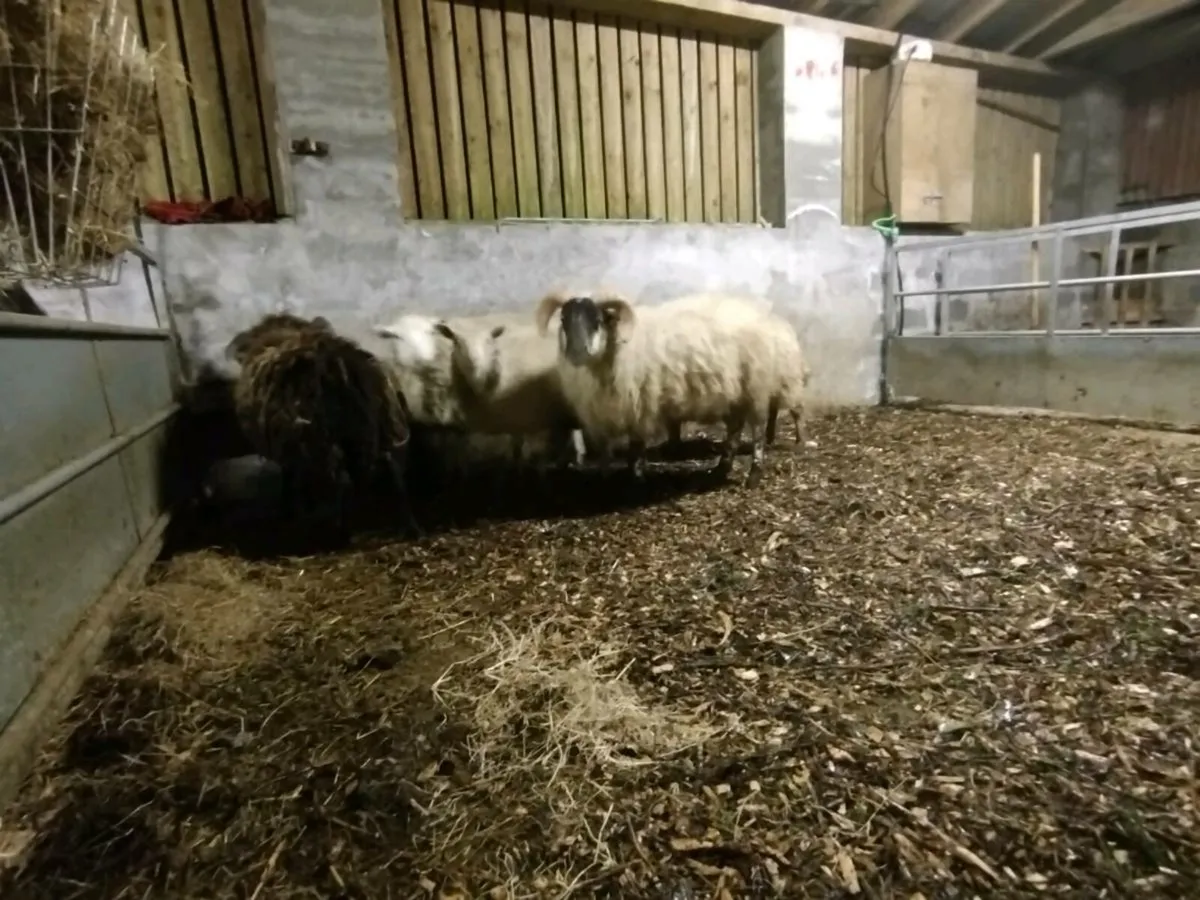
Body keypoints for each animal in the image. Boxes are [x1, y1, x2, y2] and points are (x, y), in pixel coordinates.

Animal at [225, 313, 420, 537]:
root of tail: (341, 365)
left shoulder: (291, 445)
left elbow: (292, 479)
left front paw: (293, 512)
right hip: (382, 425)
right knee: (392, 470)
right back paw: (407, 526)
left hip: (321, 436)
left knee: (339, 478)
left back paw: (339, 529)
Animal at [535, 291, 775, 485]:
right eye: (564, 319)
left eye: (597, 321)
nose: (576, 353)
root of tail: (754, 310)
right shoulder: (608, 409)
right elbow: (606, 450)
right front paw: (607, 477)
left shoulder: (640, 405)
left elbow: (636, 448)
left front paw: (637, 478)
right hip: (735, 392)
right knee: (735, 428)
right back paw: (721, 468)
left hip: (755, 386)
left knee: (758, 430)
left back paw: (754, 475)